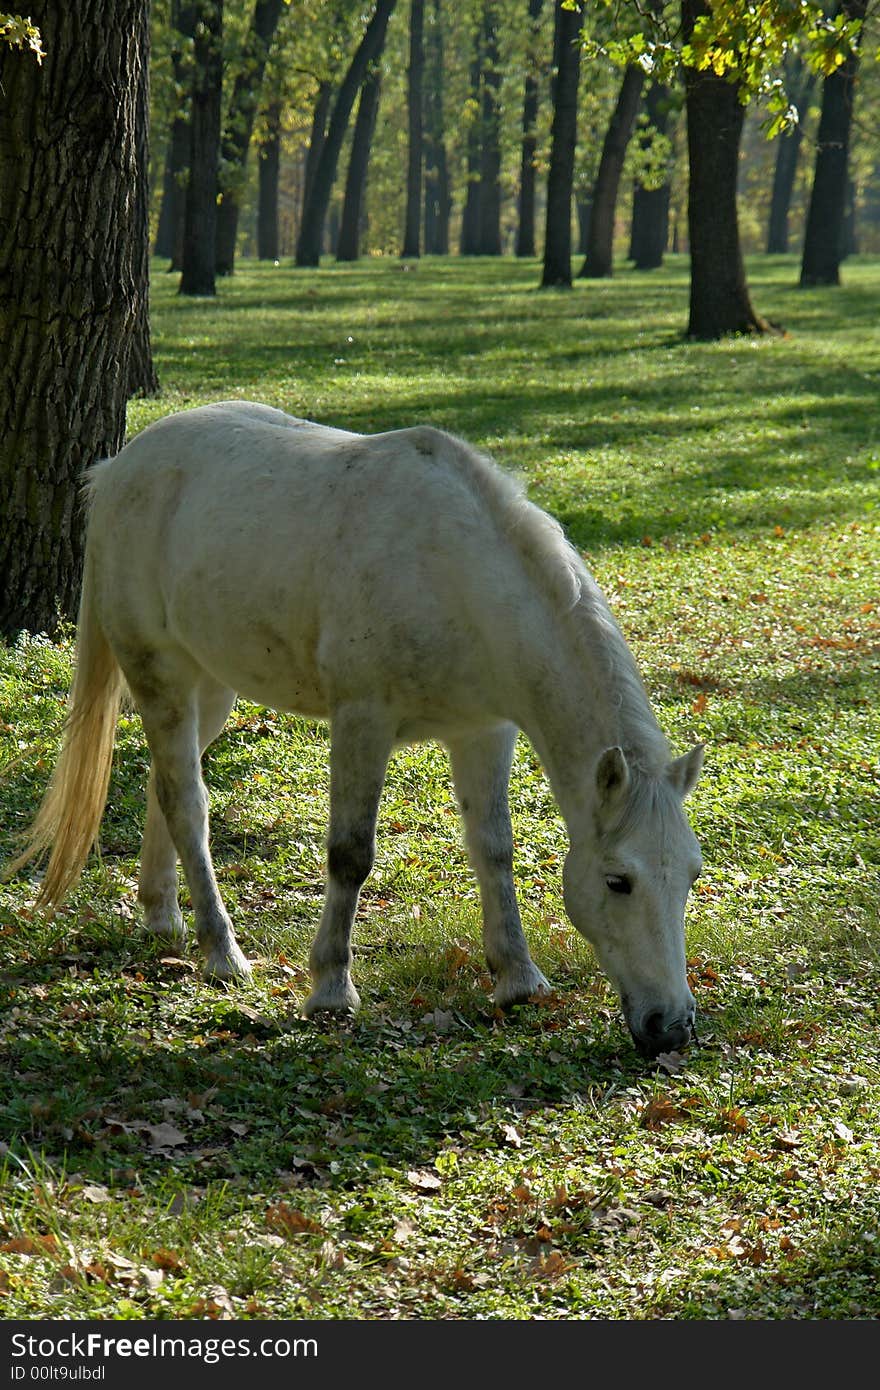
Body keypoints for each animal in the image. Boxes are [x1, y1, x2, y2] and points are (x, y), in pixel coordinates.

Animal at [8, 405, 700, 1056]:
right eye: (618, 881)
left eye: (691, 875)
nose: (670, 1026)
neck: (455, 576)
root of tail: (118, 469)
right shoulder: (364, 720)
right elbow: (350, 854)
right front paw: (331, 988)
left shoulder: (483, 732)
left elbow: (493, 849)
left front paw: (518, 979)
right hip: (163, 678)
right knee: (186, 802)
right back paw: (221, 953)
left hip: (212, 687)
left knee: (165, 785)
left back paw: (161, 916)